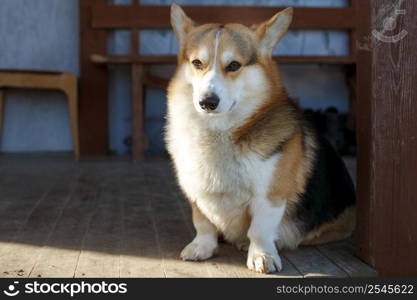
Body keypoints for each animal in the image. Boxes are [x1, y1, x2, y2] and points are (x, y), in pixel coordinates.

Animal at [164, 2, 352, 274]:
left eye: (234, 65)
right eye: (197, 63)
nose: (207, 102)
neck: (218, 132)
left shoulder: (270, 195)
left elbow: (260, 229)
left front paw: (261, 255)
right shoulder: (197, 192)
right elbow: (203, 223)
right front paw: (202, 248)